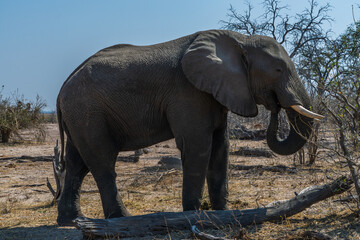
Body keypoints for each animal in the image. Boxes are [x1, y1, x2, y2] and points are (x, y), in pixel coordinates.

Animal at [55, 29, 324, 225]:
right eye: (278, 69)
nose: (275, 107)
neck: (239, 40)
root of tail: (62, 87)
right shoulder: (188, 92)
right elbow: (198, 146)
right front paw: (193, 216)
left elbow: (221, 147)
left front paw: (222, 213)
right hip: (88, 111)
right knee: (102, 163)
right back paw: (122, 219)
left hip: (80, 116)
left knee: (77, 164)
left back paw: (70, 221)